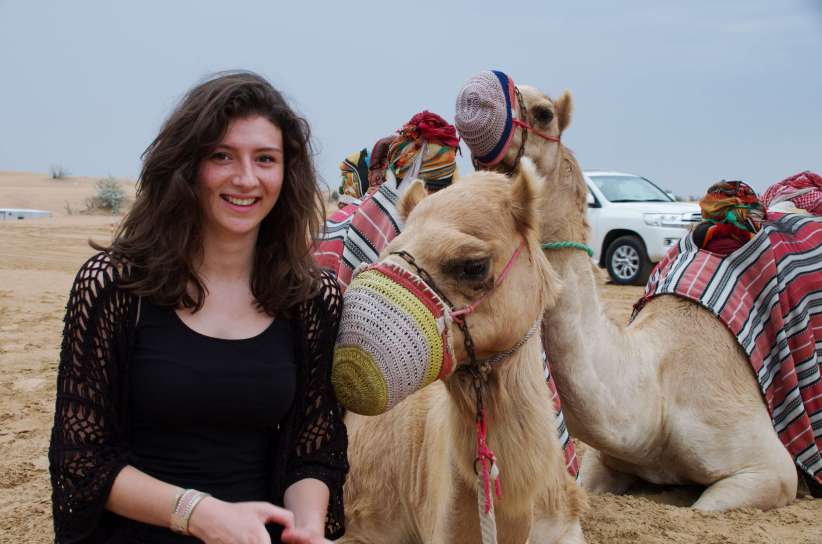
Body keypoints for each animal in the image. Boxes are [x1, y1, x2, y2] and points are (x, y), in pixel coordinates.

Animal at [457, 80, 799, 511]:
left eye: (544, 113)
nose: (475, 99)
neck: (656, 401)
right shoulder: (605, 460)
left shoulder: (769, 469)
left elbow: (706, 505)